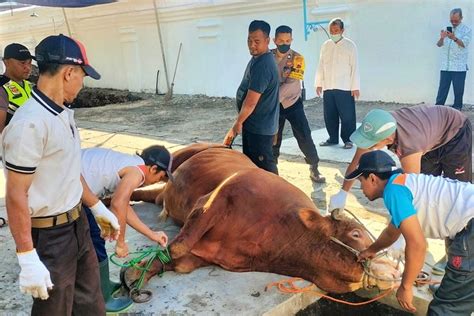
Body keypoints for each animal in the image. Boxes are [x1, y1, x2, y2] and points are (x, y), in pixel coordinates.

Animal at [127, 143, 400, 294]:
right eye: (356, 233)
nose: (396, 270)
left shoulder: (204, 256)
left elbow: (173, 259)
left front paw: (136, 276)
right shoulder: (211, 202)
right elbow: (177, 246)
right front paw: (131, 274)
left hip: (162, 193)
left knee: (143, 194)